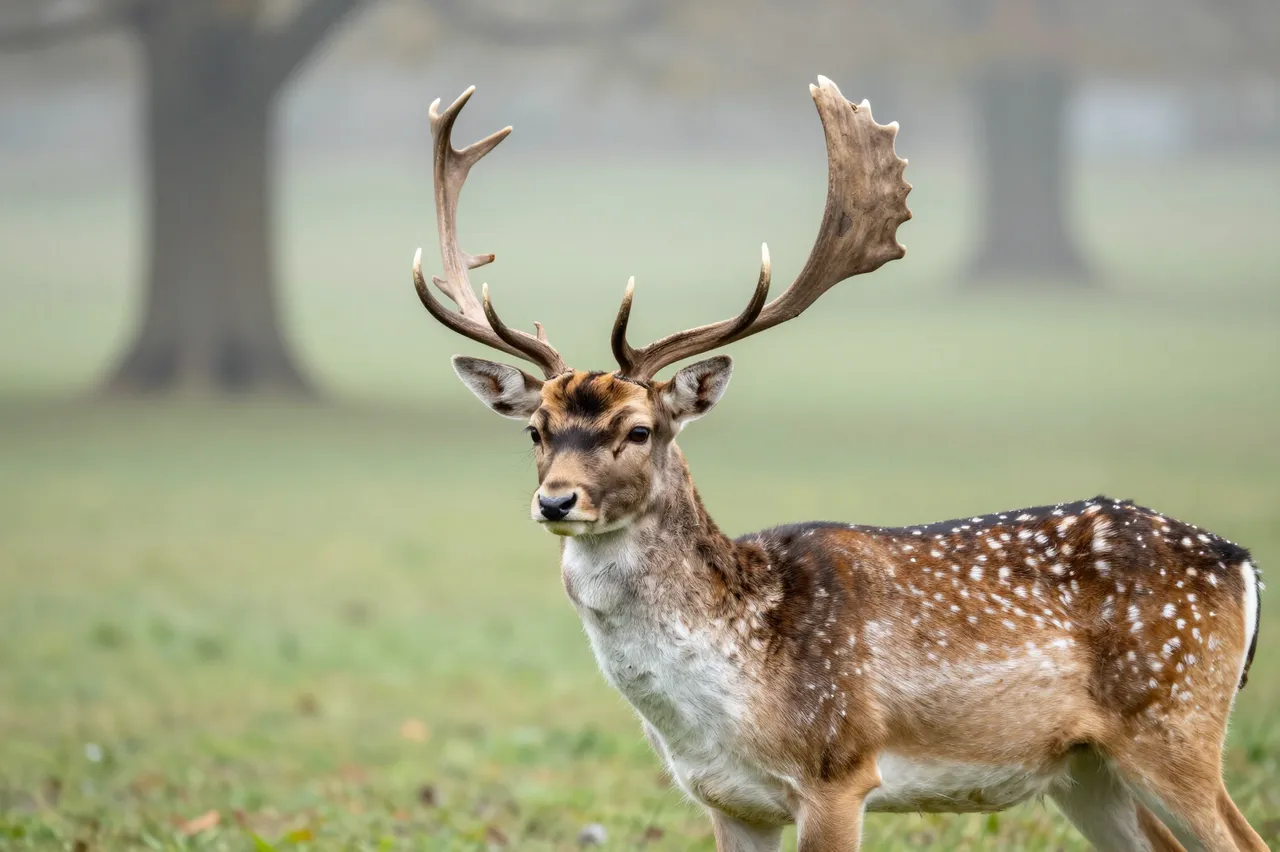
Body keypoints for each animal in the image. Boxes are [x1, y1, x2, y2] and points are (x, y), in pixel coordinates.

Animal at [409, 78, 1266, 852]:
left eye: (639, 429)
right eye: (537, 431)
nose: (557, 502)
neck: (729, 687)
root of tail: (1243, 563)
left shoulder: (838, 770)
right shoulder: (728, 799)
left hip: (1175, 718)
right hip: (1085, 770)